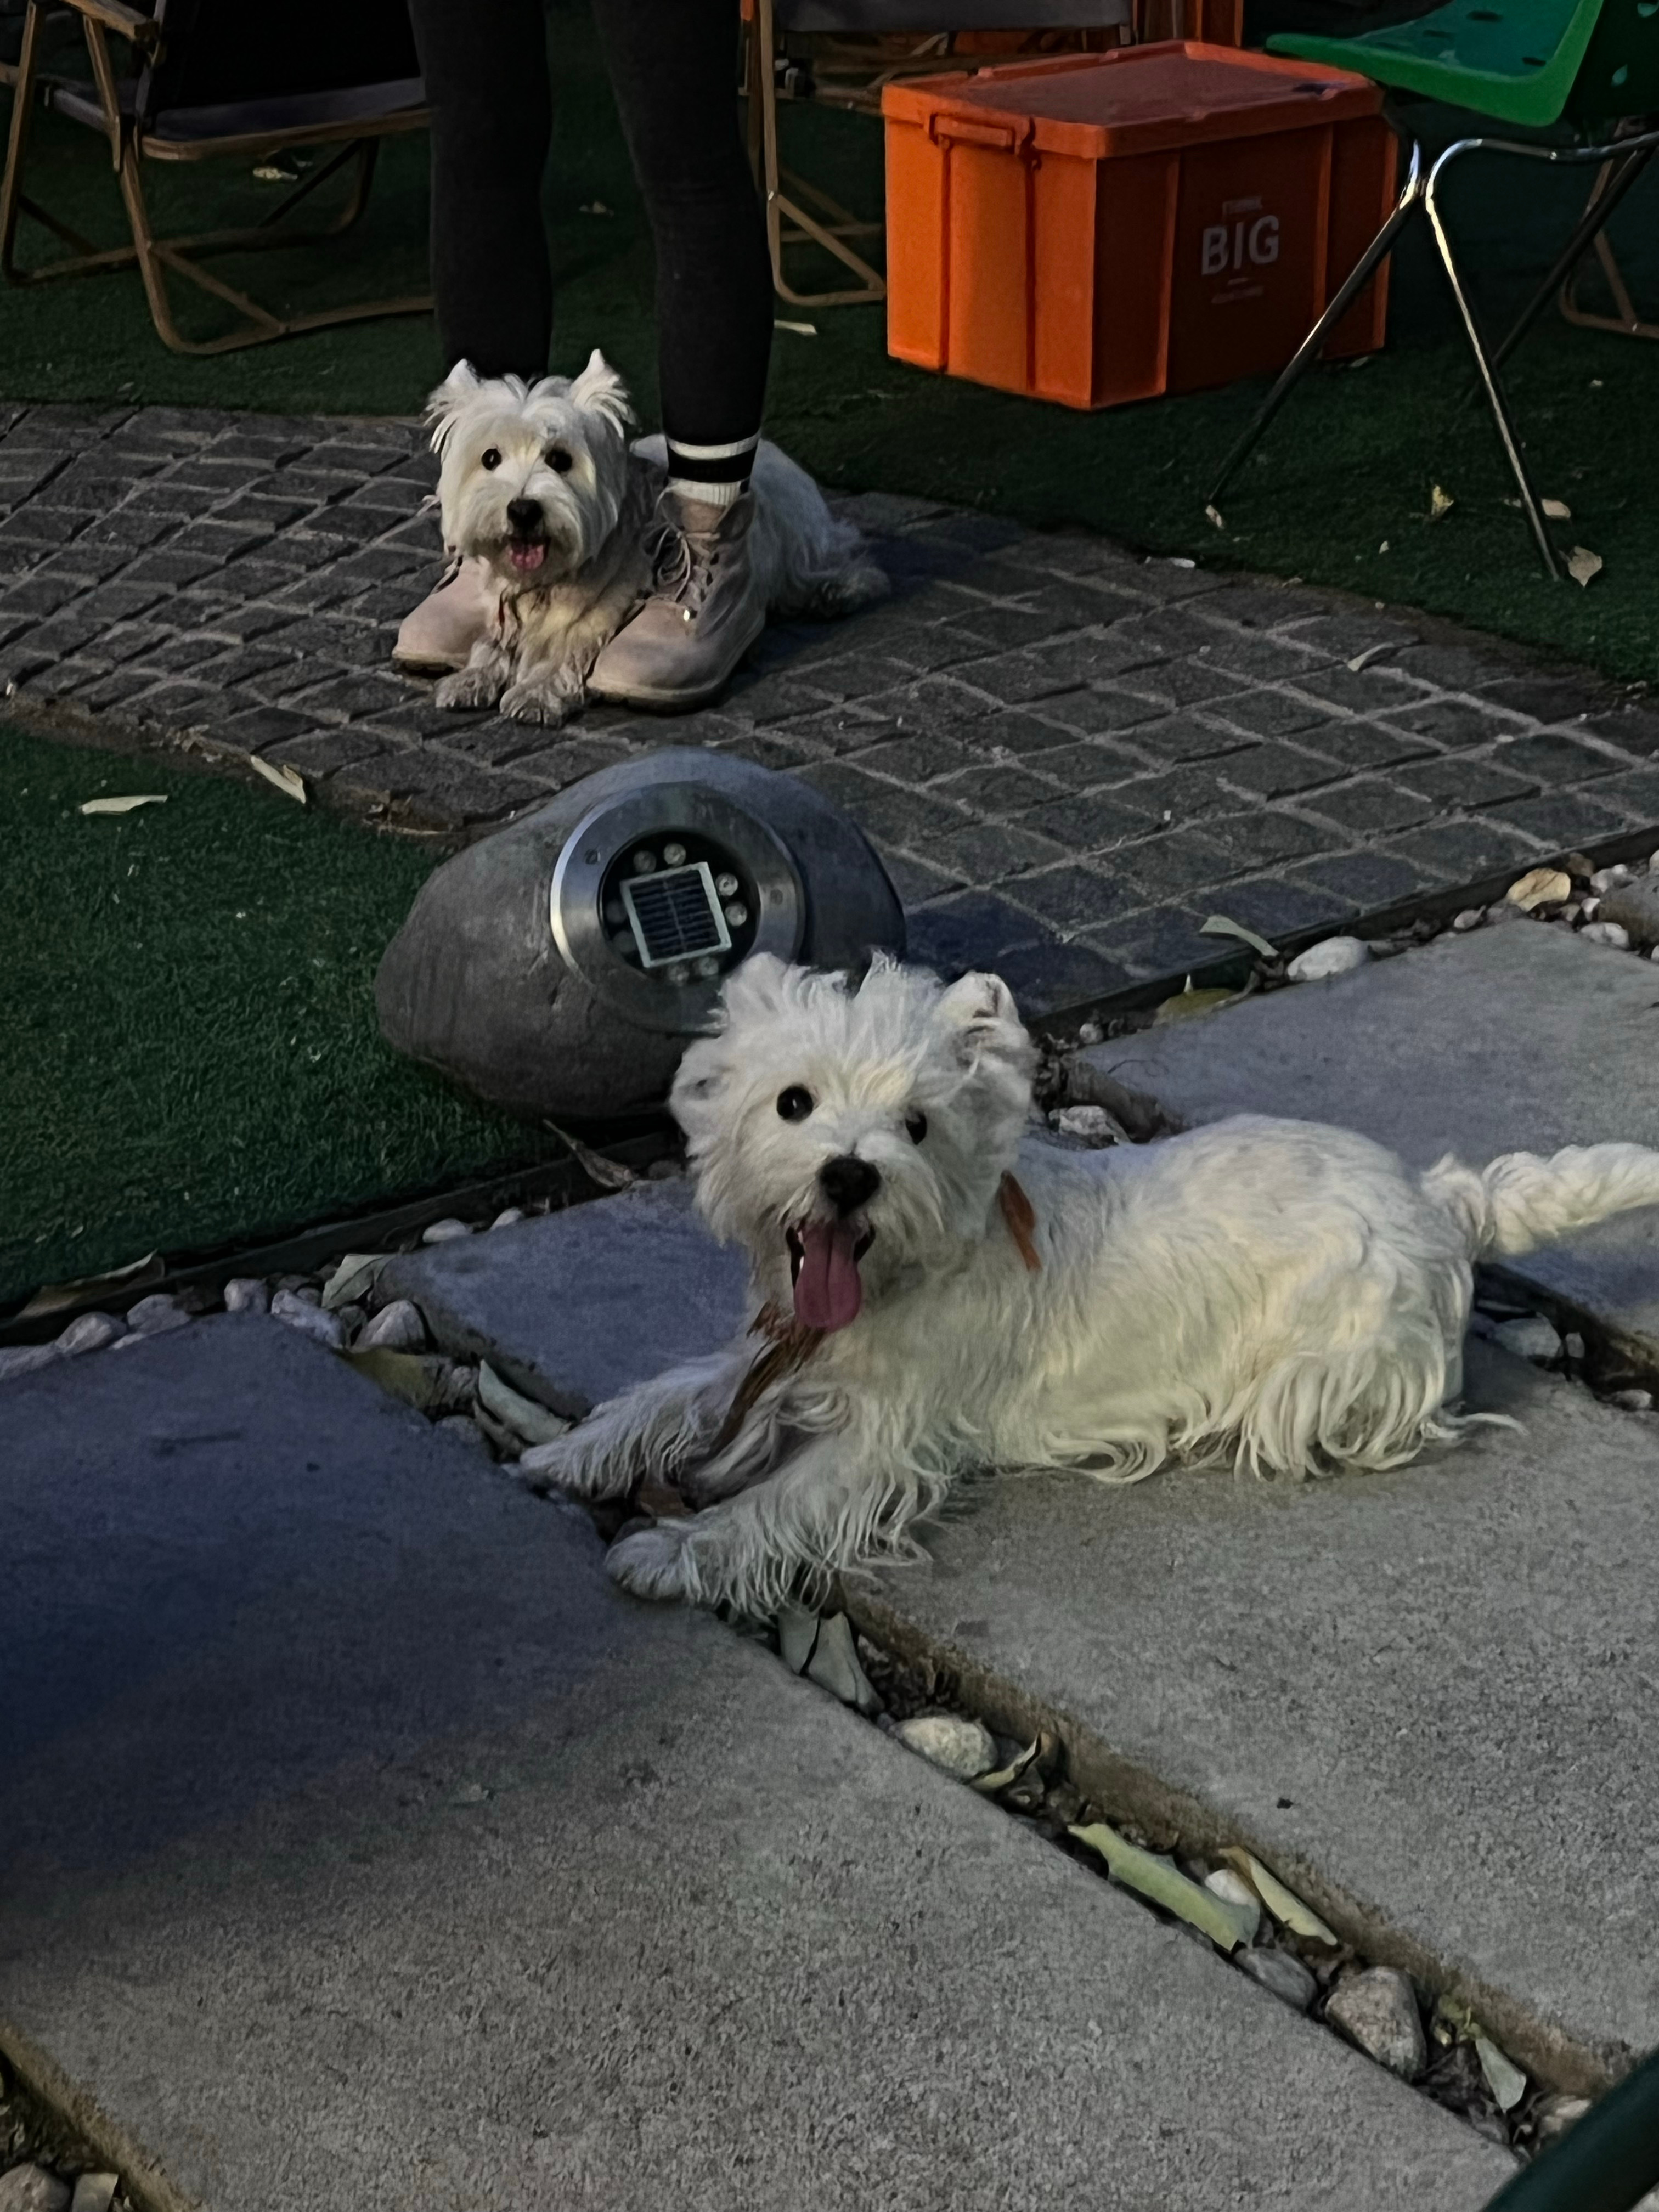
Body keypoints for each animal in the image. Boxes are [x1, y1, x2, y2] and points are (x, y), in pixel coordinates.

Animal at [424, 353, 887, 725]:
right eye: (490, 458)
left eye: (560, 459)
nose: (523, 511)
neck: (547, 580)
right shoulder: (504, 605)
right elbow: (492, 644)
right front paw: (472, 678)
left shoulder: (601, 610)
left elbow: (566, 648)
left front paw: (536, 693)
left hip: (799, 538)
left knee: (839, 558)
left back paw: (837, 590)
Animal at [520, 954, 1659, 1615]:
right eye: (791, 1101)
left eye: (916, 1125)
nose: (847, 1174)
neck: (899, 1276)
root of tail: (1436, 1197)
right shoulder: (774, 1353)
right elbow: (670, 1393)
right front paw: (568, 1452)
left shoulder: (886, 1441)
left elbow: (773, 1503)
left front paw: (668, 1551)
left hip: (1329, 1363)